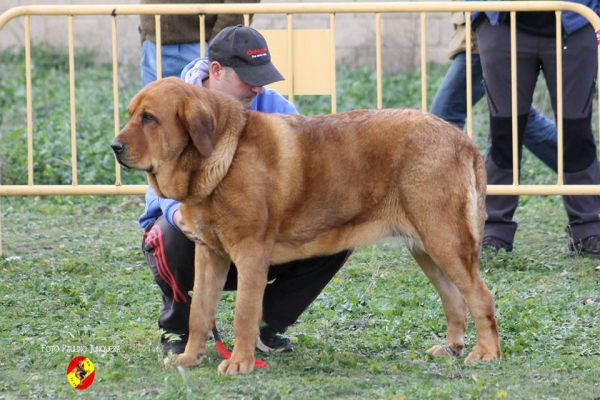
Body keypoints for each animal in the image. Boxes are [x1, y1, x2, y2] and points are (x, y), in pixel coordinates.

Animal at [111, 77, 502, 376]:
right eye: (130, 114)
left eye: (149, 118)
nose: (114, 146)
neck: (222, 156)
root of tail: (461, 138)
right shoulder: (209, 255)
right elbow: (199, 312)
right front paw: (189, 358)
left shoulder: (250, 253)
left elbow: (244, 313)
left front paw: (239, 363)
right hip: (425, 248)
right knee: (454, 299)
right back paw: (450, 348)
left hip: (444, 240)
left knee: (479, 295)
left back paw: (486, 353)